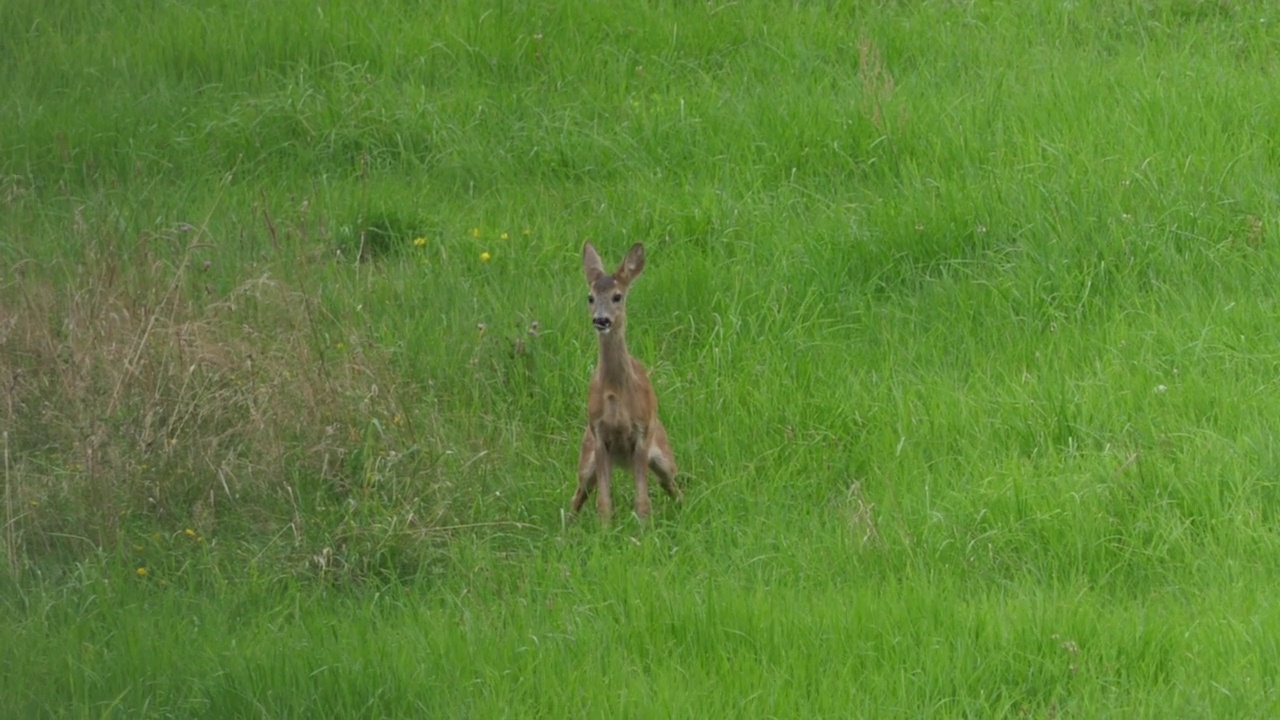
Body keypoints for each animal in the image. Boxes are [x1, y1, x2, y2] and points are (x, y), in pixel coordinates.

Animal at [573, 242, 680, 520]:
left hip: (663, 453)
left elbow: (642, 502)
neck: (615, 392)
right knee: (578, 495)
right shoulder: (598, 432)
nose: (601, 320)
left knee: (672, 484)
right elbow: (604, 503)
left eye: (617, 296)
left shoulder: (642, 430)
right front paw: (605, 529)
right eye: (590, 297)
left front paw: (644, 529)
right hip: (586, 456)